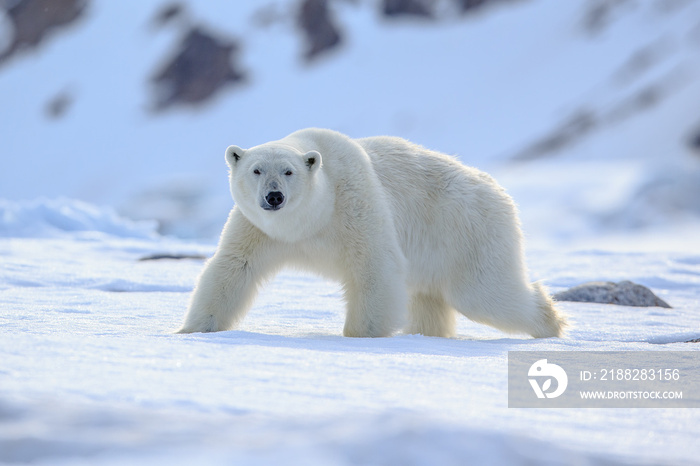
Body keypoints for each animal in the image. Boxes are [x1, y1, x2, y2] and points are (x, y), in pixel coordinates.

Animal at [178, 127, 568, 338]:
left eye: (288, 171)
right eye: (256, 170)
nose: (274, 197)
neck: (310, 221)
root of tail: (498, 190)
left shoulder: (355, 204)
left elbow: (373, 266)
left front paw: (360, 336)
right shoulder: (259, 229)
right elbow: (233, 268)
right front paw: (191, 330)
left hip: (467, 231)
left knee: (485, 292)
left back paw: (552, 324)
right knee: (430, 299)